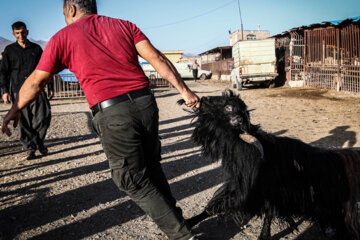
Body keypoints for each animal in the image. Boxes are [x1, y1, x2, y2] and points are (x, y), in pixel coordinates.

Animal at [179, 90, 360, 240]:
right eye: (226, 105)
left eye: (230, 108)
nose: (202, 100)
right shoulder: (241, 186)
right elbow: (216, 206)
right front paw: (190, 221)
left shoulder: (267, 192)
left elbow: (268, 214)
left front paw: (264, 236)